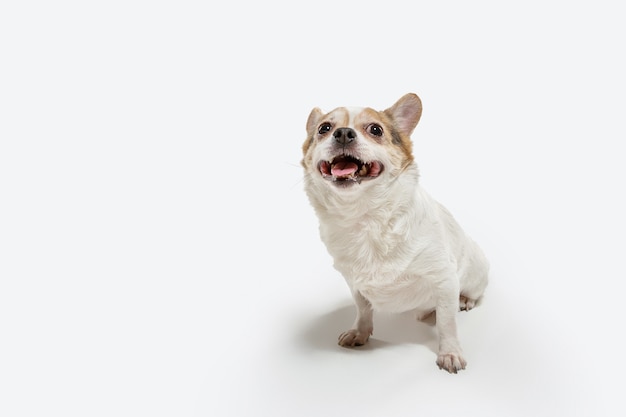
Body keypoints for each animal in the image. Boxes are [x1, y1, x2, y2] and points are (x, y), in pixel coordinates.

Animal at [300, 92, 490, 372]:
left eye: (375, 130)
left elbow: (447, 322)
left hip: (475, 272)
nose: (343, 133)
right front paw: (360, 332)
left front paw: (450, 352)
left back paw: (464, 299)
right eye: (324, 128)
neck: (366, 217)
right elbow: (363, 309)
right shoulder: (355, 284)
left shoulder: (444, 279)